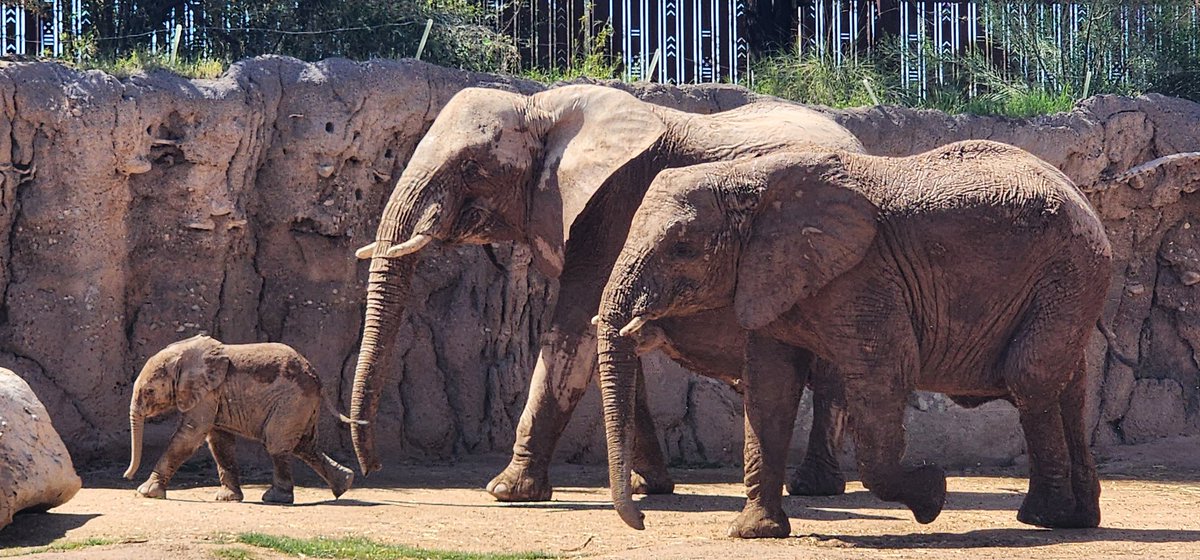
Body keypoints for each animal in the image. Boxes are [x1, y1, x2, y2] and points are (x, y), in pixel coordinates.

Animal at [123, 335, 356, 504]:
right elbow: (218, 441)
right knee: (304, 446)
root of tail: (317, 378)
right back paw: (344, 484)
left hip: (293, 402)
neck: (184, 354)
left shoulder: (209, 391)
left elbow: (191, 434)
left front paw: (145, 492)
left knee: (277, 444)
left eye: (149, 391)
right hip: (302, 405)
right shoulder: (214, 395)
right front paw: (227, 499)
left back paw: (275, 499)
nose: (127, 477)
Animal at [349, 83, 864, 501]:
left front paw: (507, 491)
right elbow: (610, 337)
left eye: (472, 166)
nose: (370, 469)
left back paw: (813, 486)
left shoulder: (614, 206)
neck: (540, 108)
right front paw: (648, 485)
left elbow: (574, 333)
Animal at [595, 140, 1112, 537]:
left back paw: (1044, 520)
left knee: (1030, 378)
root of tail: (1081, 195)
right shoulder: (772, 277)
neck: (749, 178)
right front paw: (754, 532)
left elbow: (885, 373)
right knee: (1069, 385)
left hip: (1069, 271)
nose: (642, 520)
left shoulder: (864, 277)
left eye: (682, 248)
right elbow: (769, 388)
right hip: (1069, 280)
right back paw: (1077, 518)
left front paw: (933, 493)